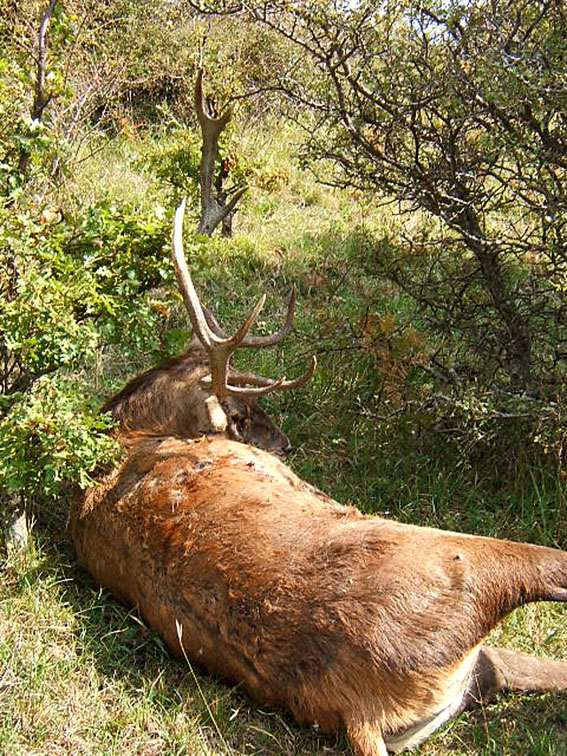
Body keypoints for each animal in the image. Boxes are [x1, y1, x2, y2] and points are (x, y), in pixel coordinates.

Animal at [69, 200, 567, 756]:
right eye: (241, 413)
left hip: (472, 664)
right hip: (470, 560)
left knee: (515, 666)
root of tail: (361, 712)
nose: (285, 444)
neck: (131, 436)